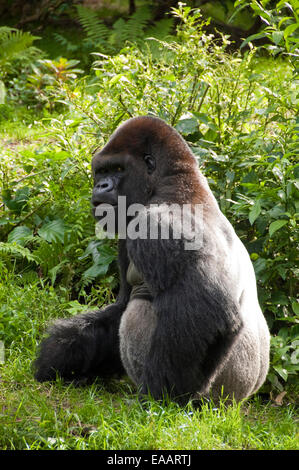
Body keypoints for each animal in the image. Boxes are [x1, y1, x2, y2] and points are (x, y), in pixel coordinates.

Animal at [34, 115, 270, 406]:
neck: (172, 182)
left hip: (217, 395)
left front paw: (162, 394)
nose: (101, 186)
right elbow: (121, 305)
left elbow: (208, 315)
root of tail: (244, 397)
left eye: (118, 169)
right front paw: (63, 355)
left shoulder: (158, 227)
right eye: (101, 171)